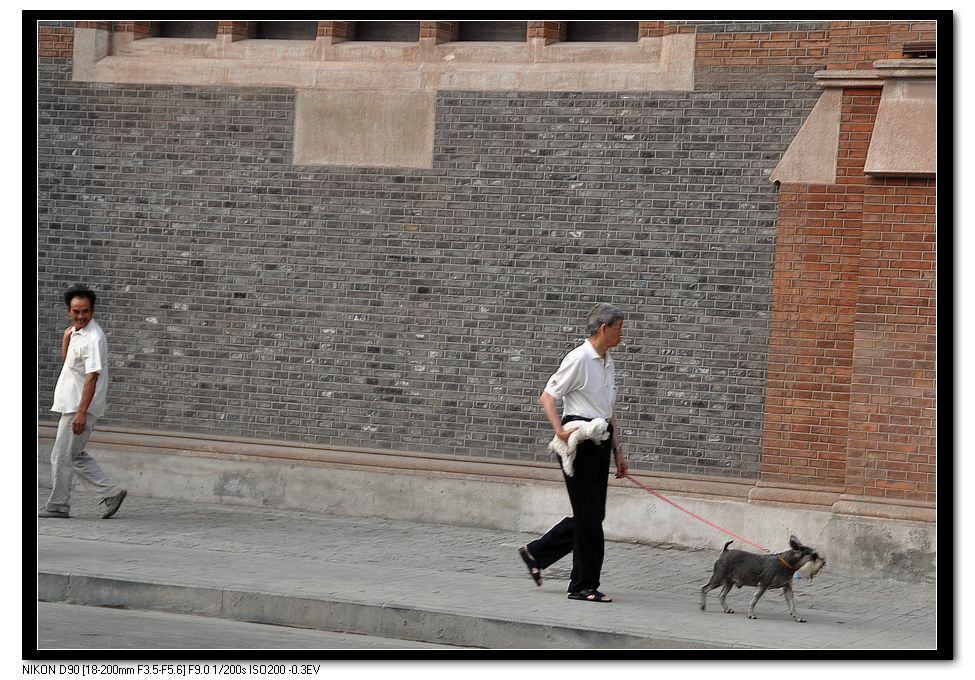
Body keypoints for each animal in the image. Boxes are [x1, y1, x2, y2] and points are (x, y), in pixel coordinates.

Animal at [696, 532, 828, 624]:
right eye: (814, 556)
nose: (823, 561)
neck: (787, 564)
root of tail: (725, 551)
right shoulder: (763, 585)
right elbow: (754, 600)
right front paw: (751, 614)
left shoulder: (787, 588)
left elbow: (792, 605)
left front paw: (798, 617)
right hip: (718, 579)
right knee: (704, 588)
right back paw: (703, 606)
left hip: (729, 582)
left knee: (721, 595)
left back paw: (727, 609)